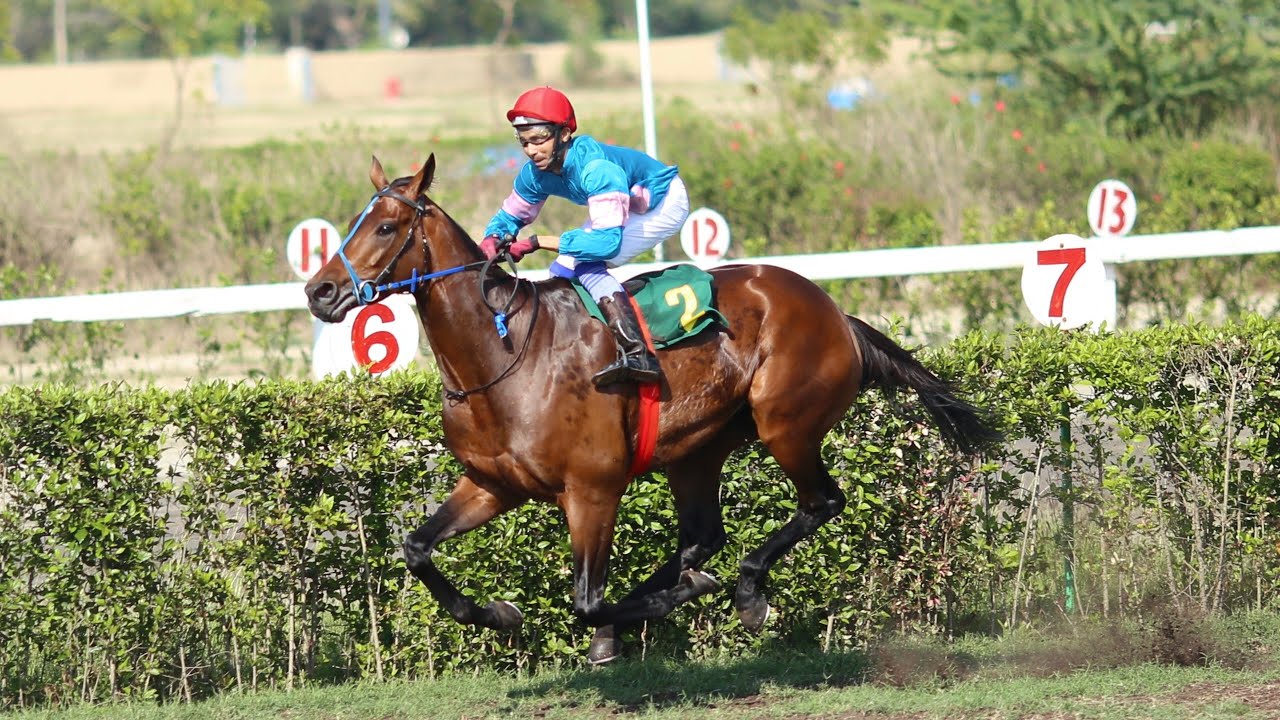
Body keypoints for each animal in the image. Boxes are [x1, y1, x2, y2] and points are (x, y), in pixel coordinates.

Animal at [304, 153, 1002, 664]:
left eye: (386, 227)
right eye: (354, 222)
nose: (320, 291)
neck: (501, 355)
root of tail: (836, 312)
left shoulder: (591, 490)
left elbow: (586, 598)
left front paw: (648, 612)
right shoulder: (491, 483)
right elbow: (417, 549)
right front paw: (499, 613)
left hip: (786, 424)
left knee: (819, 503)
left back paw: (745, 592)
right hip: (698, 449)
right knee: (703, 536)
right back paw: (684, 590)